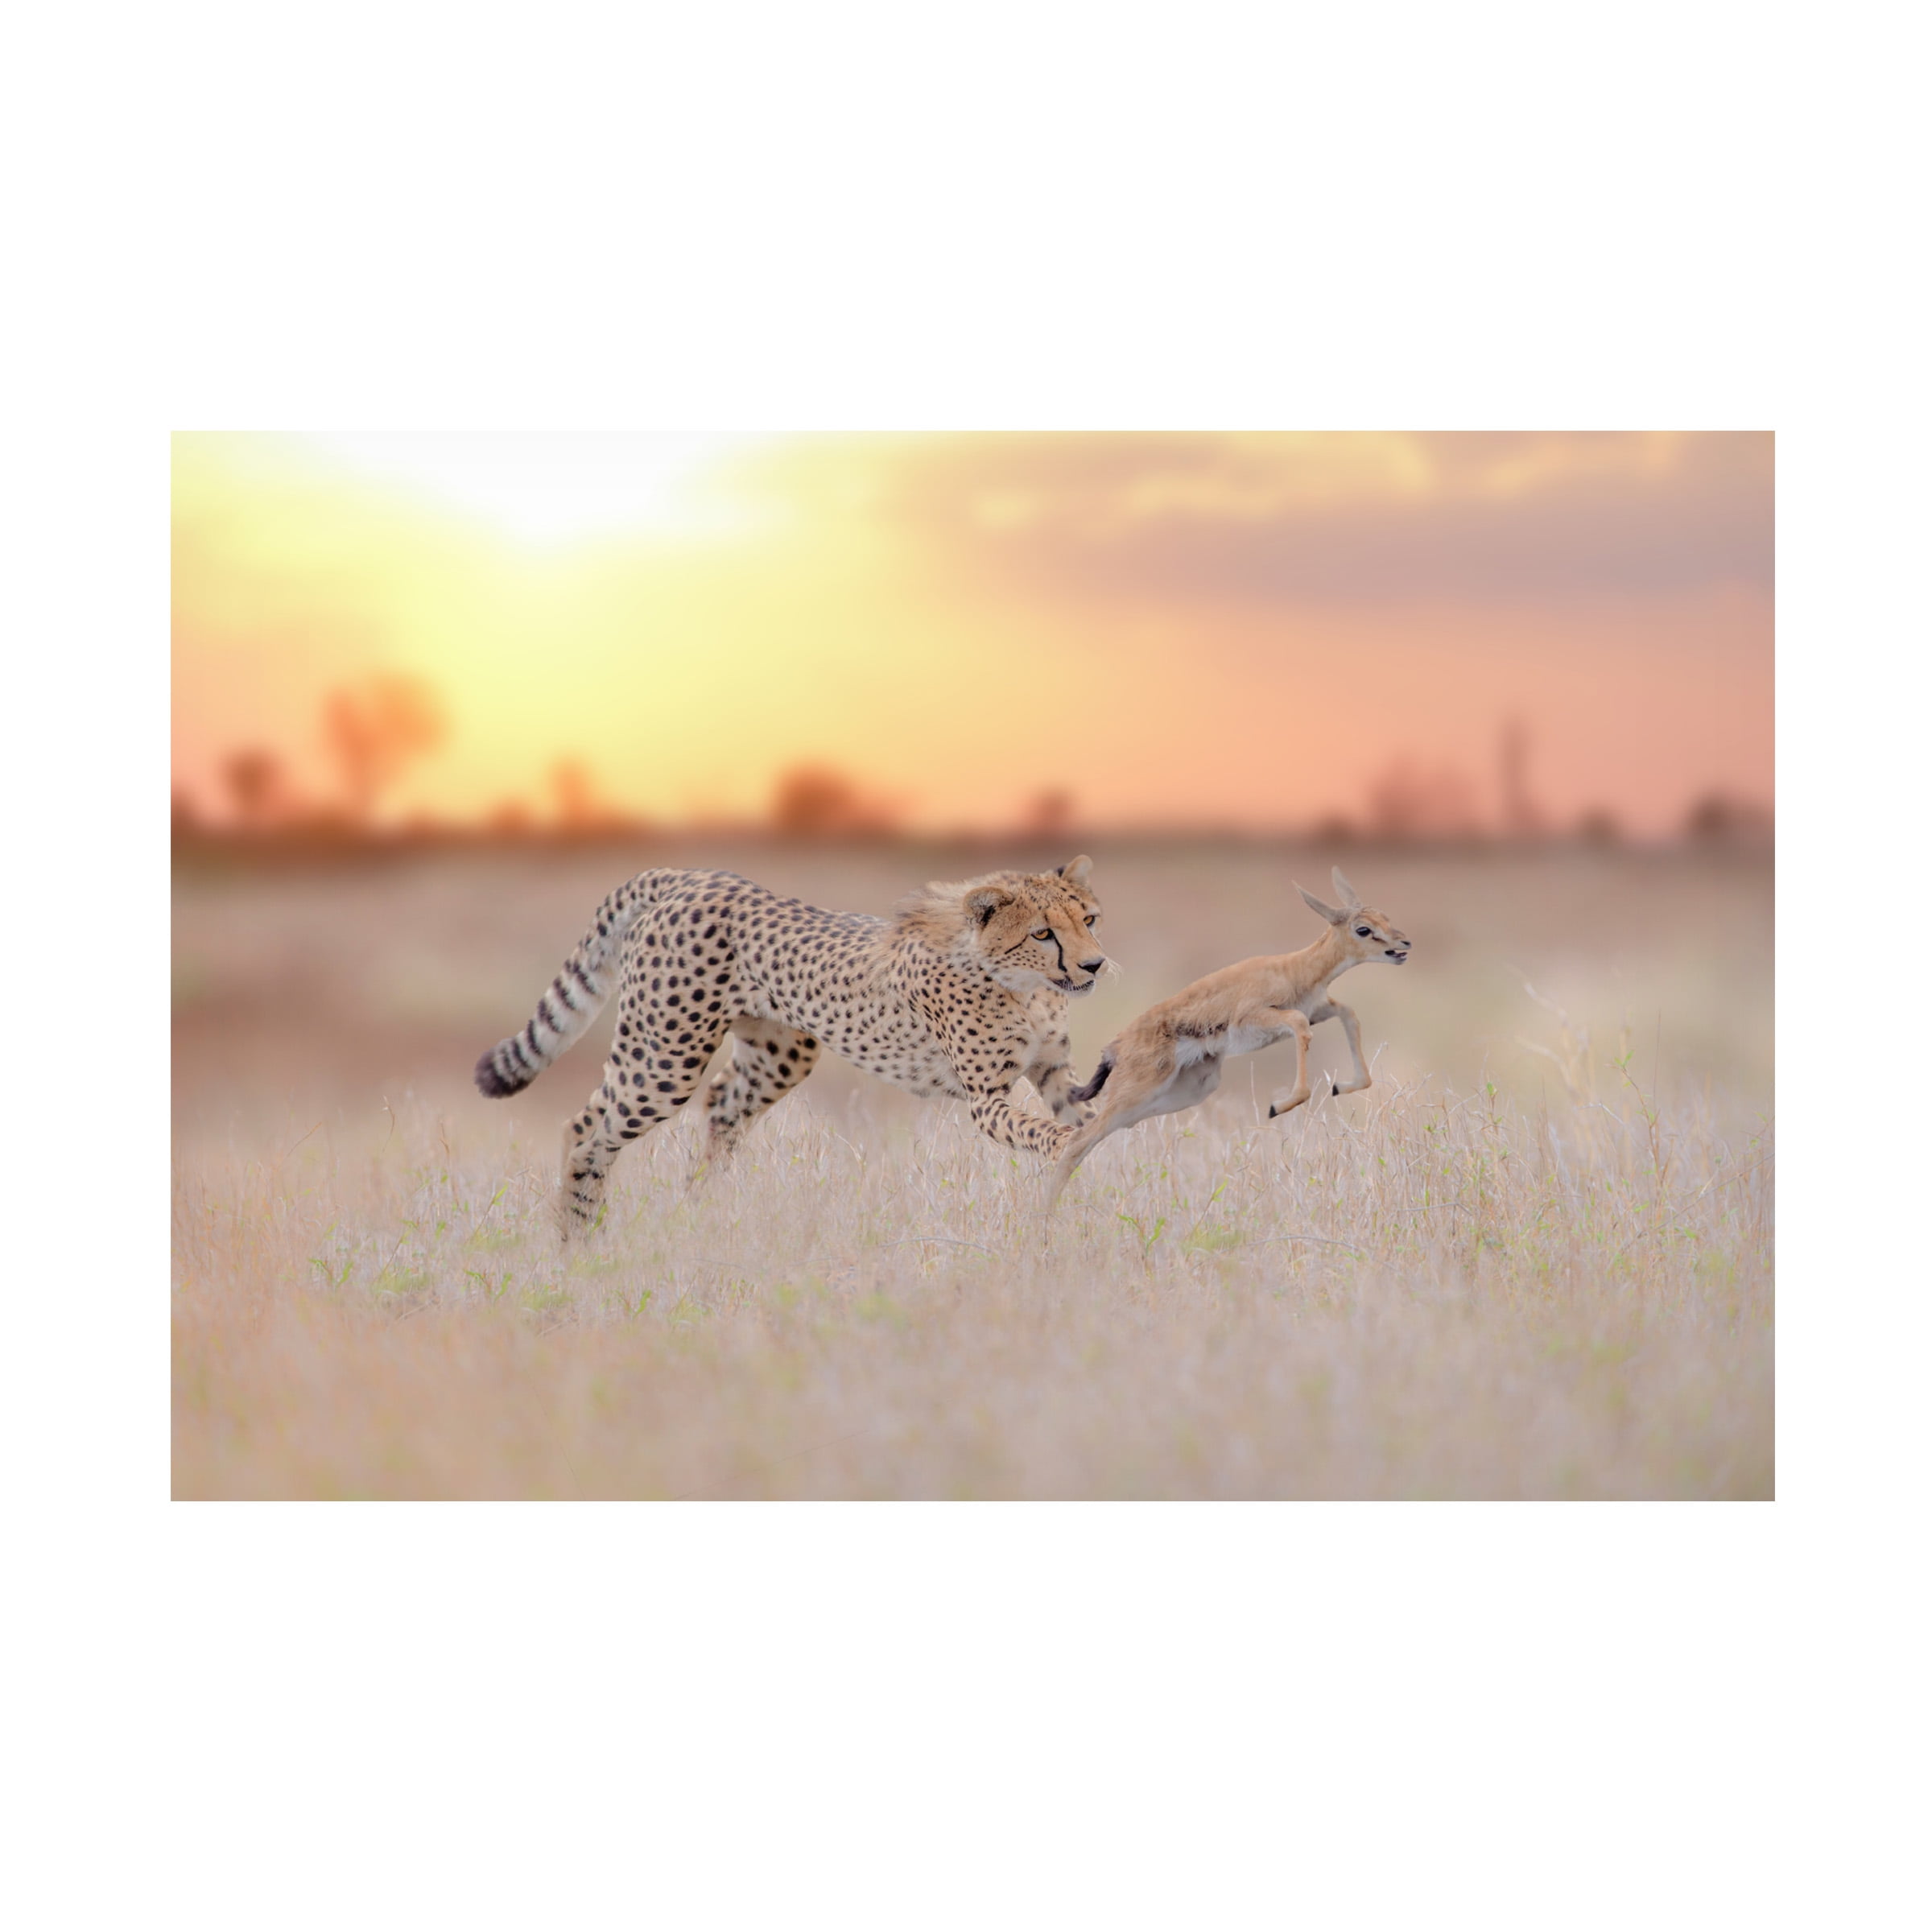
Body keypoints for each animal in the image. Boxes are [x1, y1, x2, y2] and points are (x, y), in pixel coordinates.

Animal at [473, 855, 1108, 1236]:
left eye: (1090, 920)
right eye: (1043, 933)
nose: (1094, 965)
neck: (1027, 987)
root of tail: (691, 877)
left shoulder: (1056, 1073)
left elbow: (1090, 1111)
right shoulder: (985, 1098)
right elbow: (1039, 1129)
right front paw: (1069, 1148)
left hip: (780, 1055)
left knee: (721, 1106)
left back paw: (703, 1213)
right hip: (665, 1058)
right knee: (585, 1128)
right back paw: (578, 1244)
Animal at [1046, 868, 1411, 1206]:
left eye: (1385, 917)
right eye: (1363, 929)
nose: (1404, 944)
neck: (1295, 969)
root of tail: (1114, 1049)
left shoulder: (1320, 1009)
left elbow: (1349, 1015)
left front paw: (1340, 1087)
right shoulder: (1262, 1018)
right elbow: (1300, 1026)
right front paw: (1278, 1106)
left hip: (1178, 1095)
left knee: (1090, 1136)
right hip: (1137, 1094)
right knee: (1077, 1142)